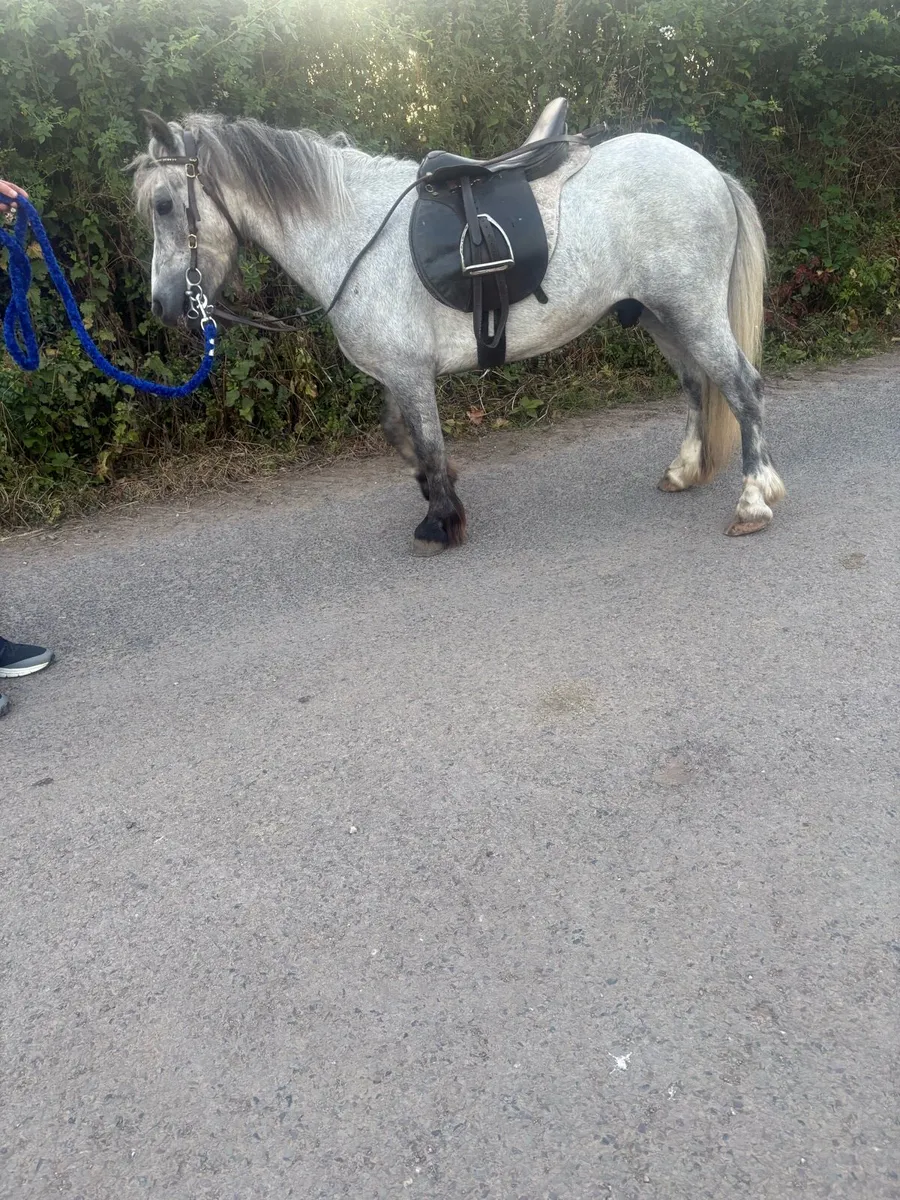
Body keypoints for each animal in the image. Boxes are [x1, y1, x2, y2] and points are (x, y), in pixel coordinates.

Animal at [131, 107, 785, 553]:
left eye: (164, 205)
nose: (164, 304)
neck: (354, 232)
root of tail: (707, 170)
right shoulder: (398, 375)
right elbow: (404, 438)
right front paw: (438, 491)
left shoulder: (410, 373)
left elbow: (425, 439)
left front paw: (440, 520)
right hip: (661, 315)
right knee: (697, 387)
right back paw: (685, 470)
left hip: (692, 310)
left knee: (742, 388)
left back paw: (754, 500)